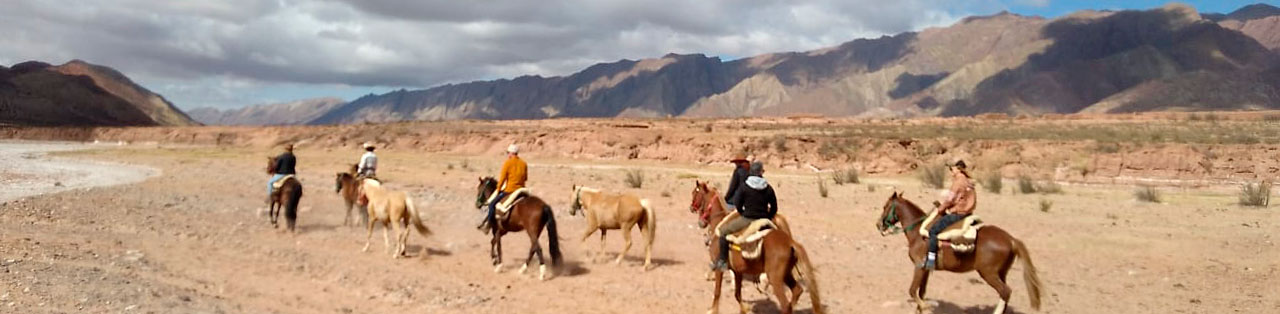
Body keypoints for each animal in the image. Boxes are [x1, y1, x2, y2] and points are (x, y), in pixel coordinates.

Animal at [686, 180, 824, 312]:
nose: (691, 208)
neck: (718, 222)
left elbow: (717, 292)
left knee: (785, 305)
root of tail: (791, 243)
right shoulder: (738, 271)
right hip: (786, 274)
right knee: (797, 292)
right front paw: (744, 309)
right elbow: (737, 295)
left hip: (776, 278)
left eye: (695, 193)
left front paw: (712, 309)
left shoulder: (720, 267)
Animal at [875, 190, 1044, 314]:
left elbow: (912, 291)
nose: (878, 224)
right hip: (1001, 272)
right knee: (1005, 293)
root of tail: (1011, 239)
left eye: (885, 206)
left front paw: (926, 307)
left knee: (1005, 292)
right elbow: (921, 292)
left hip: (988, 273)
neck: (918, 232)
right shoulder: (926, 269)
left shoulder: (919, 266)